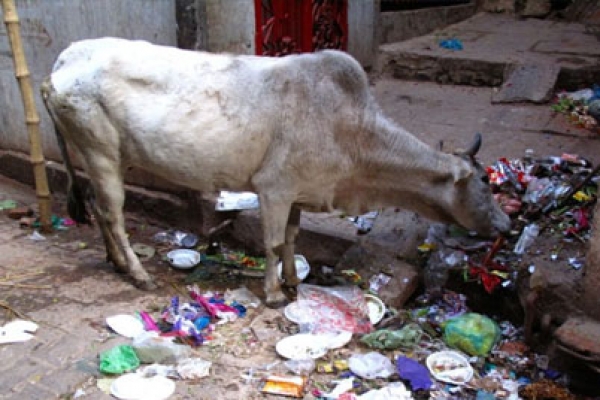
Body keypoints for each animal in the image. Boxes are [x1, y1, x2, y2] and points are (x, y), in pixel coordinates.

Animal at [42, 38, 510, 306]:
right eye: (486, 183)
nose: (507, 222)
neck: (353, 133)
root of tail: (60, 65)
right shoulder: (274, 189)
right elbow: (271, 242)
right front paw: (271, 293)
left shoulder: (300, 193)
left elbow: (291, 238)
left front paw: (292, 282)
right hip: (101, 152)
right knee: (115, 214)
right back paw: (137, 273)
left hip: (104, 156)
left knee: (98, 209)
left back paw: (116, 262)